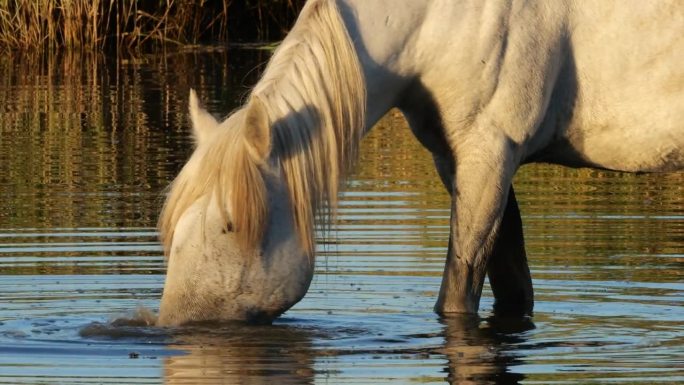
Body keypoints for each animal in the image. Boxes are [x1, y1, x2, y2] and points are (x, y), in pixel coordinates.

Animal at [156, 0, 684, 326]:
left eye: (229, 225)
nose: (172, 328)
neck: (438, 20)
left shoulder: (489, 155)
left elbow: (458, 290)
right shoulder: (458, 160)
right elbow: (513, 286)